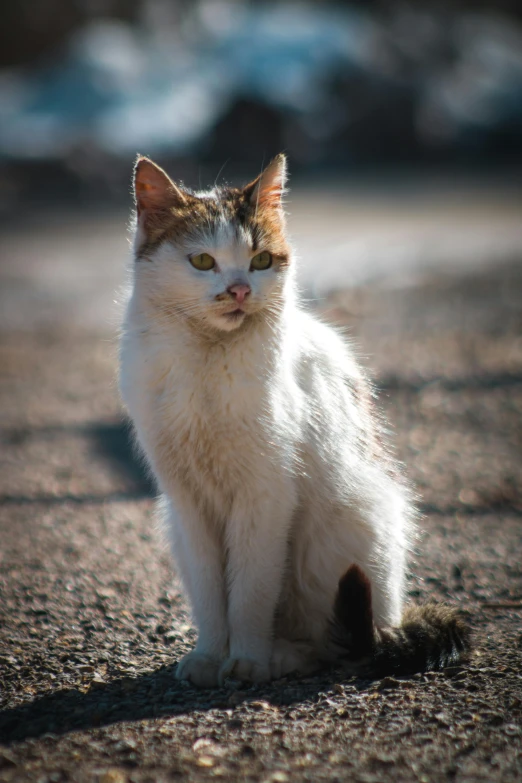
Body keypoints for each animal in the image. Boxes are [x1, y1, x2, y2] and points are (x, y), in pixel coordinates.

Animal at [119, 153, 468, 688]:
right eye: (203, 262)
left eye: (261, 261)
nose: (239, 290)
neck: (207, 359)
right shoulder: (188, 504)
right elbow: (212, 596)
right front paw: (209, 656)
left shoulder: (265, 497)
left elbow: (249, 593)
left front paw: (245, 661)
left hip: (341, 536)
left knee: (338, 644)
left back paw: (281, 656)